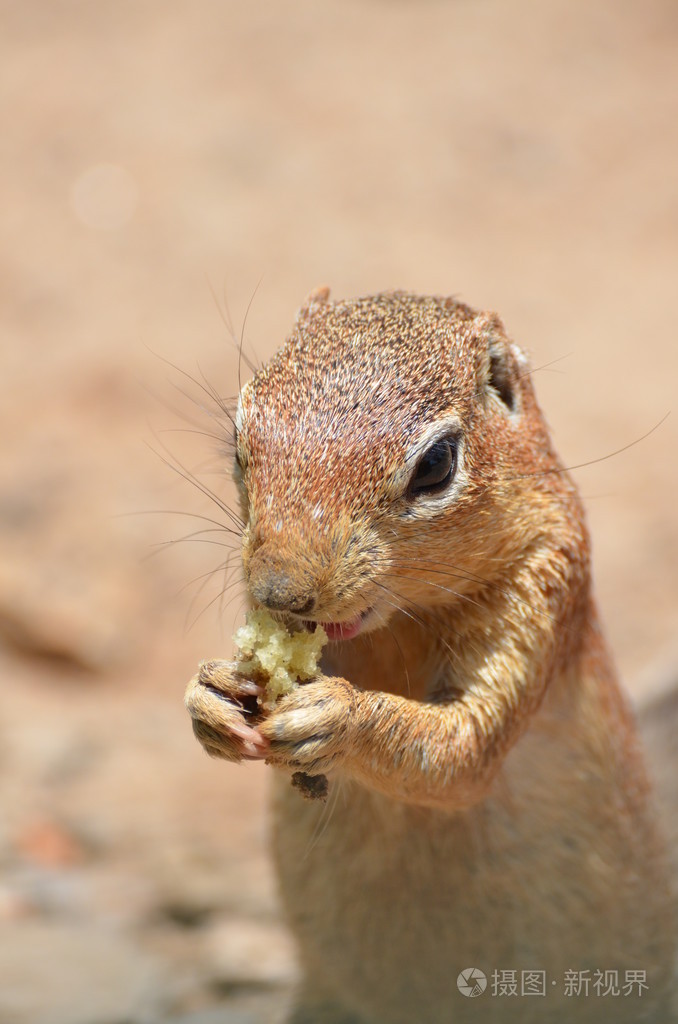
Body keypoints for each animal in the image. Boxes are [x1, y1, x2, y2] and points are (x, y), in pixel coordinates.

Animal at [183, 290, 675, 1024]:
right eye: (239, 442)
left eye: (437, 463)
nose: (279, 592)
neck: (395, 630)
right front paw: (210, 696)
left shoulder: (546, 588)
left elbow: (459, 751)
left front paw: (338, 717)